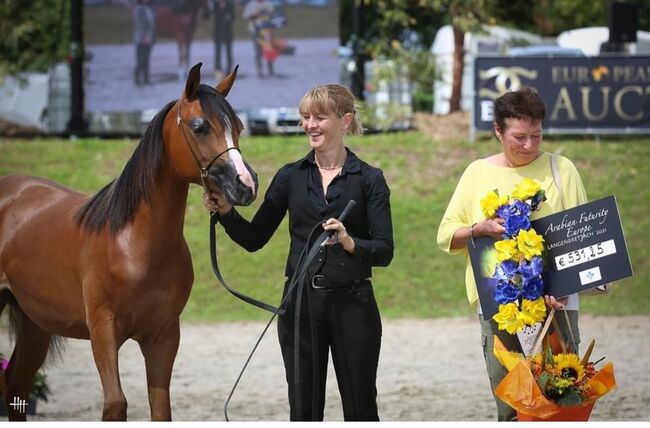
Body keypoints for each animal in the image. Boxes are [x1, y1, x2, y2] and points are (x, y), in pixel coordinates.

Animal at [0, 63, 256, 422]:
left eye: (238, 127)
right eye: (200, 126)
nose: (246, 185)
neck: (135, 244)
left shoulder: (163, 336)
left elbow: (161, 409)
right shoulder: (103, 331)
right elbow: (115, 405)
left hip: (33, 322)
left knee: (16, 385)